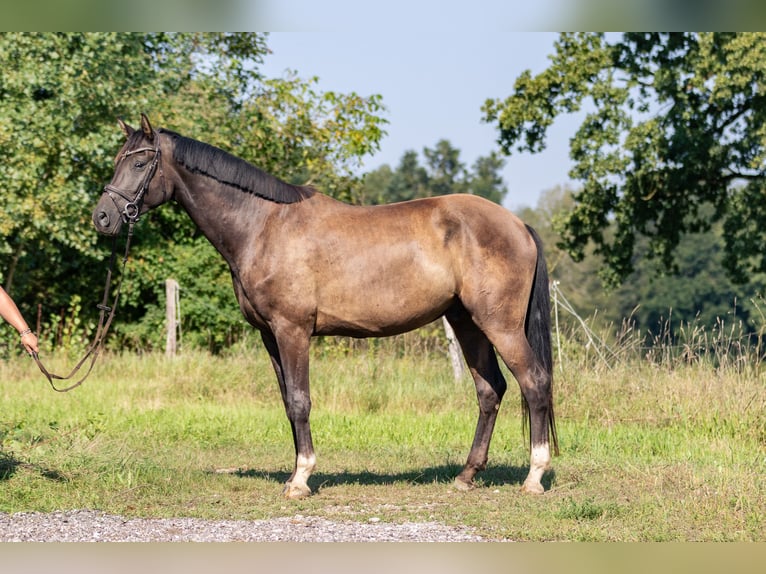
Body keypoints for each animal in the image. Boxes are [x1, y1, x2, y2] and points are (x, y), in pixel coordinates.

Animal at [93, 116, 560, 500]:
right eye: (118, 161)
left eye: (140, 164)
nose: (103, 217)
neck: (263, 225)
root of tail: (518, 224)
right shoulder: (270, 335)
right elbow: (287, 402)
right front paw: (294, 473)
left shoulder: (293, 330)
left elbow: (301, 401)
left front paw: (301, 480)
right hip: (467, 322)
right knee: (490, 390)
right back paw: (466, 475)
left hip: (499, 325)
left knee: (534, 383)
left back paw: (534, 477)